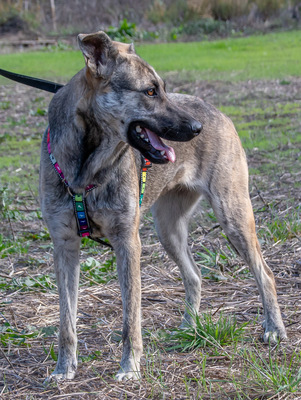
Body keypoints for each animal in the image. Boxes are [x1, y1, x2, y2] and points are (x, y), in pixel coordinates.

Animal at [38, 31, 284, 382]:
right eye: (150, 91)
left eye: (163, 88)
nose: (196, 128)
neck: (87, 168)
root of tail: (216, 111)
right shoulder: (64, 244)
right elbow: (66, 322)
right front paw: (64, 369)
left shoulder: (128, 242)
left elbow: (131, 318)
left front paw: (129, 367)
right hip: (168, 230)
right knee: (194, 276)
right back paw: (189, 328)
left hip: (233, 216)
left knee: (265, 273)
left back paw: (274, 328)